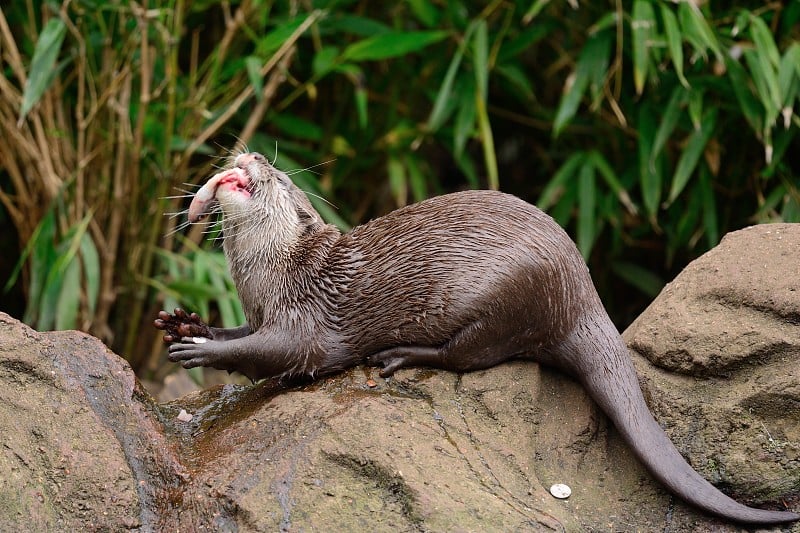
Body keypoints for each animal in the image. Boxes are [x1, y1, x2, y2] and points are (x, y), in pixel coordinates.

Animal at [156, 151, 800, 524]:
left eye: (280, 178)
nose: (251, 152)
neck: (278, 272)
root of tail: (577, 290)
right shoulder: (263, 309)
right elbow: (245, 334)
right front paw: (186, 323)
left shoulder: (307, 321)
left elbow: (280, 354)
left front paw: (201, 349)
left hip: (503, 296)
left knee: (473, 355)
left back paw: (401, 355)